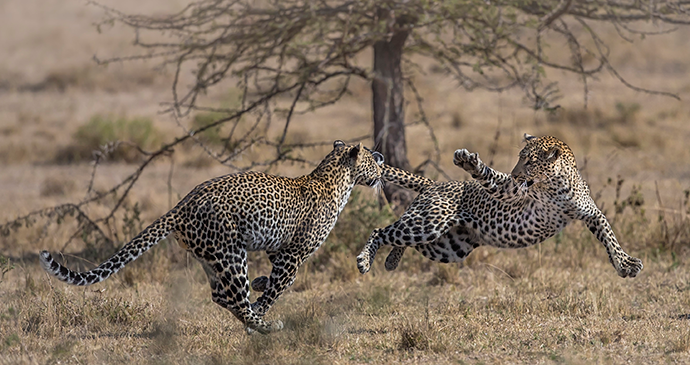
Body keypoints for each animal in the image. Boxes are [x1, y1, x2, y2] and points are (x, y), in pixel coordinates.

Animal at [39, 141, 382, 334]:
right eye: (371, 159)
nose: (381, 161)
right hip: (231, 253)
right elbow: (277, 290)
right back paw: (264, 327)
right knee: (237, 299)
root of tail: (182, 204)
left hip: (210, 256)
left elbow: (271, 282)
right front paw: (262, 309)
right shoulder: (292, 256)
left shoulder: (278, 250)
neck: (335, 179)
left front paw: (261, 285)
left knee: (221, 296)